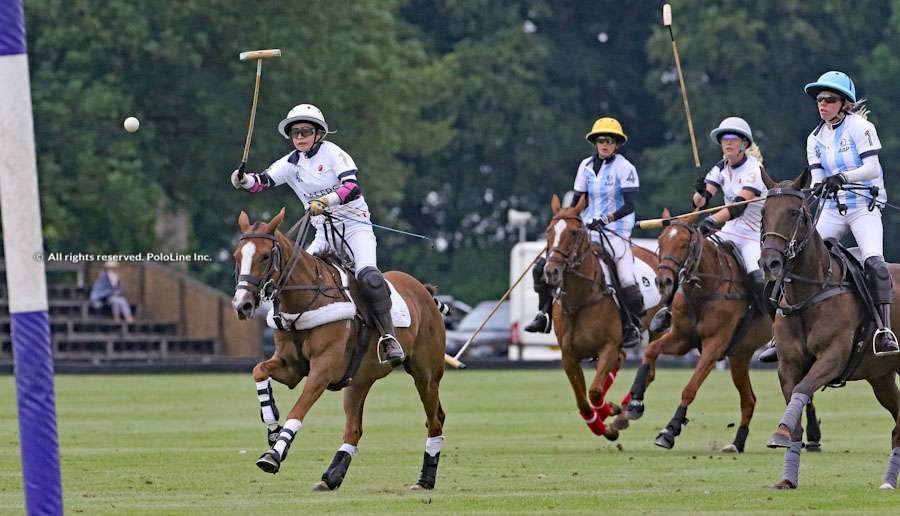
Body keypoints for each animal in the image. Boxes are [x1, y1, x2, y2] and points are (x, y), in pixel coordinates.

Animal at [229, 209, 446, 492]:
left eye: (265, 256)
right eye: (237, 255)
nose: (242, 305)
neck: (305, 300)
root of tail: (424, 291)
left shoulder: (323, 370)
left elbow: (298, 409)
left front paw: (273, 455)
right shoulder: (290, 367)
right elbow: (259, 370)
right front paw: (272, 427)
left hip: (426, 373)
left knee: (435, 420)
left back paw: (425, 479)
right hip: (359, 381)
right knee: (354, 428)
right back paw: (330, 477)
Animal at [540, 194, 660, 440]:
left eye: (574, 232)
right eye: (548, 231)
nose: (551, 271)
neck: (580, 300)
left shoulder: (608, 346)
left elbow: (594, 392)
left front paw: (609, 411)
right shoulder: (568, 356)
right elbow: (583, 402)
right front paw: (602, 425)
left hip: (657, 329)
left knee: (649, 372)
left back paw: (626, 411)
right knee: (622, 361)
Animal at [620, 210, 824, 452]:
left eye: (684, 244)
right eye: (660, 242)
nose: (663, 281)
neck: (705, 289)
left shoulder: (714, 345)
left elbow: (690, 388)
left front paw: (670, 430)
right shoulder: (681, 339)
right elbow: (650, 350)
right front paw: (635, 403)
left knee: (802, 390)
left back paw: (812, 436)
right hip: (739, 355)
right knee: (750, 399)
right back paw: (738, 442)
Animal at [760, 171, 900, 490]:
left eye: (795, 212)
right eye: (762, 212)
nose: (769, 262)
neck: (808, 293)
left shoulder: (832, 358)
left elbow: (802, 390)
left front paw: (778, 433)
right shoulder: (788, 365)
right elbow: (796, 406)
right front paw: (787, 477)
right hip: (881, 377)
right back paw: (889, 481)